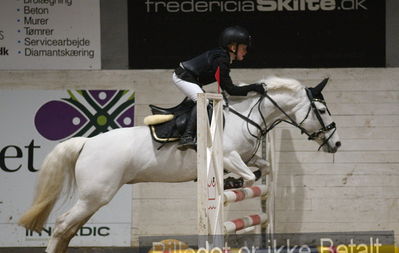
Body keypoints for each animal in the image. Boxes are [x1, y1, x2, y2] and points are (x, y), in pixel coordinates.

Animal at [18, 76, 340, 252]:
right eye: (322, 110)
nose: (336, 144)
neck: (246, 118)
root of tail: (86, 142)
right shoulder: (228, 156)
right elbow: (247, 178)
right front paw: (232, 182)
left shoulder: (248, 157)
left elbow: (263, 170)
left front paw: (241, 180)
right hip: (96, 195)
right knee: (62, 225)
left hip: (94, 198)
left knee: (69, 229)